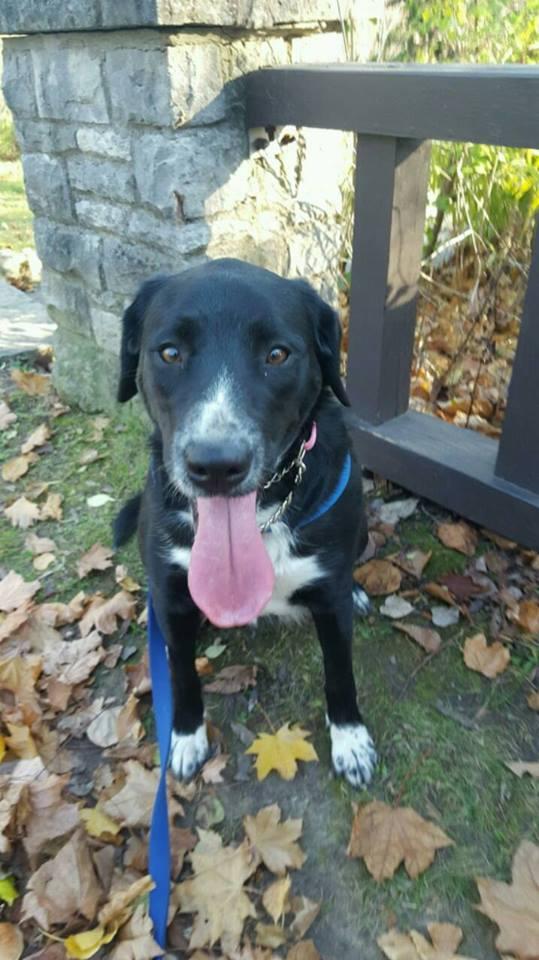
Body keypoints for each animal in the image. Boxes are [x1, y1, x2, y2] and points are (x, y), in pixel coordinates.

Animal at [115, 256, 376, 788]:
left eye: (277, 354)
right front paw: (186, 737)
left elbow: (340, 673)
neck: (261, 518)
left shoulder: (331, 601)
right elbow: (182, 676)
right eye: (169, 352)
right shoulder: (173, 599)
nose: (216, 465)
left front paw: (351, 741)